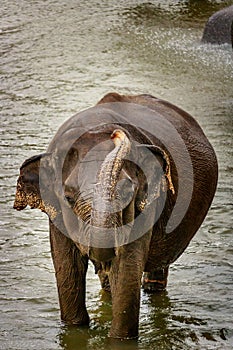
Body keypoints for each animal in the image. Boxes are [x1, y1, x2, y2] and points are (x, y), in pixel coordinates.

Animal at [13, 93, 218, 340]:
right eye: (68, 197)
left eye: (127, 194)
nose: (116, 135)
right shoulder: (56, 215)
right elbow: (67, 266)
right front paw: (75, 330)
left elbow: (127, 270)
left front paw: (120, 339)